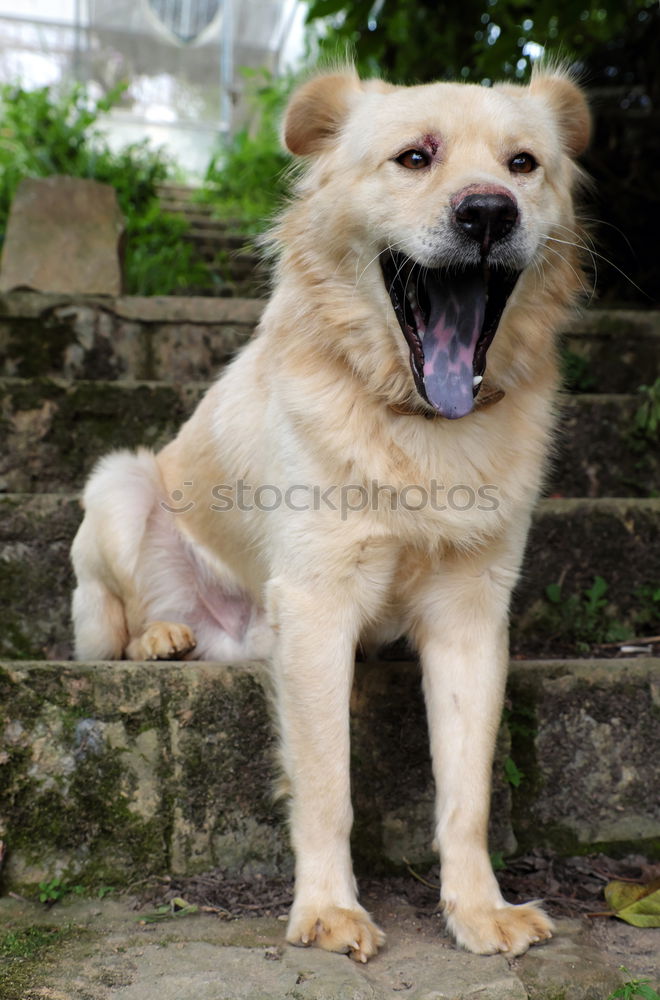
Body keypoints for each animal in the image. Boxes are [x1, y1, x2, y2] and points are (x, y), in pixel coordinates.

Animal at [71, 62, 588, 960]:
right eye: (415, 156)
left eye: (523, 164)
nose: (489, 212)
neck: (420, 425)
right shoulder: (318, 603)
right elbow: (325, 784)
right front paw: (326, 909)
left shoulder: (470, 615)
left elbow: (467, 791)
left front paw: (477, 909)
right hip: (121, 487)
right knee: (120, 623)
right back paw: (161, 637)